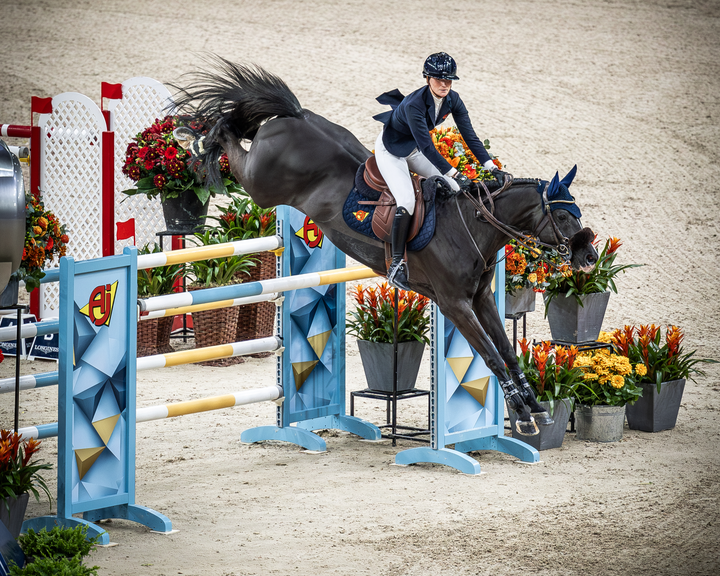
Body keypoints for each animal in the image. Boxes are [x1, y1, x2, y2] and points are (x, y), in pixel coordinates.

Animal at [171, 57, 598, 436]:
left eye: (577, 211)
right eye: (564, 218)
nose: (589, 257)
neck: (472, 227)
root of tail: (295, 116)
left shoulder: (480, 299)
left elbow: (507, 351)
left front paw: (536, 408)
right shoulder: (454, 304)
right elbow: (492, 356)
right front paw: (522, 415)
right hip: (261, 184)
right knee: (231, 140)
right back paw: (193, 135)